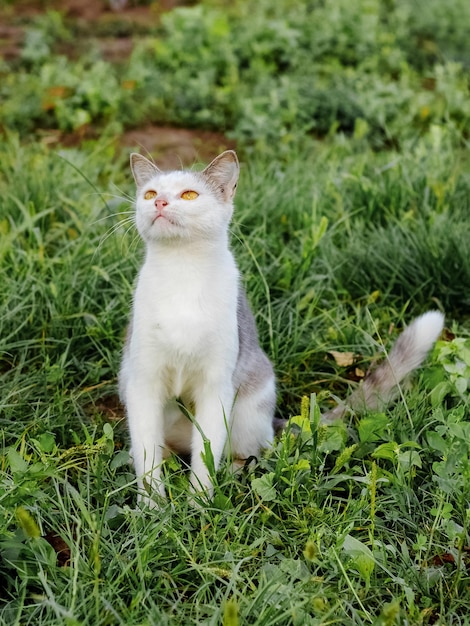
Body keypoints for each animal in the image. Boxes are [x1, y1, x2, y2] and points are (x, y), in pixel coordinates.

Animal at [118, 151, 444, 508]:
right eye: (149, 193)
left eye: (189, 195)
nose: (159, 202)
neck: (182, 274)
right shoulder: (143, 381)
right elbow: (148, 460)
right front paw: (153, 508)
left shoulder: (216, 385)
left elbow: (207, 455)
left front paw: (199, 504)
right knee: (157, 448)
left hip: (246, 411)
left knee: (244, 453)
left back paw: (231, 474)